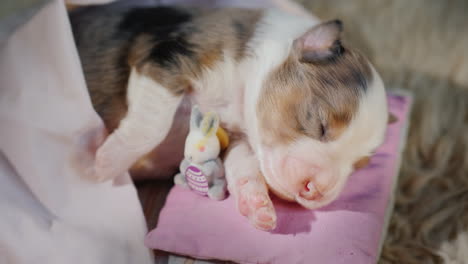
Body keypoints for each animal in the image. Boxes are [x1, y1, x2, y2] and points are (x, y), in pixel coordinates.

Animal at [69, 5, 390, 230]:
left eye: (358, 166)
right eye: (319, 124)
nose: (316, 192)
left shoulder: (234, 137)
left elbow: (243, 161)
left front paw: (257, 205)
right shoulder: (168, 54)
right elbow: (153, 125)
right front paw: (107, 162)